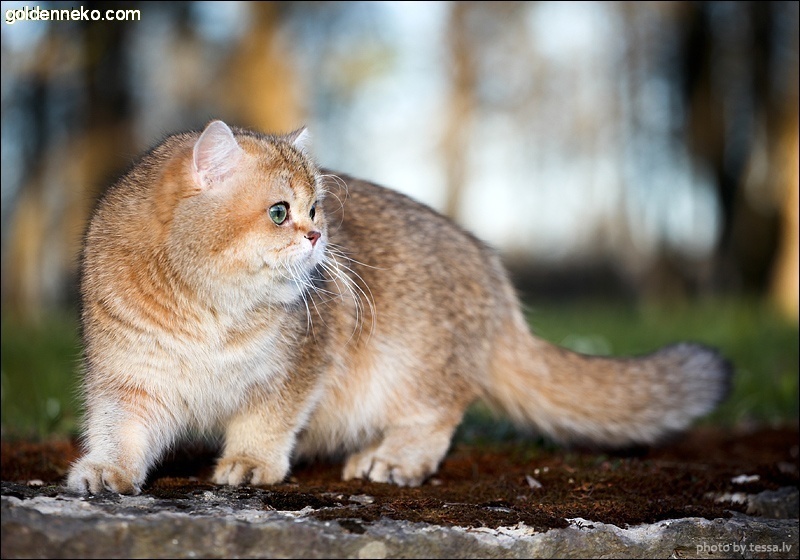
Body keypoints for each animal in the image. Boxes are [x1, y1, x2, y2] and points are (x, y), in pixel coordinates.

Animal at [67, 119, 732, 494]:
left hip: (415, 368)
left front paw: (251, 462)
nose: (319, 236)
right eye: (281, 211)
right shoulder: (129, 380)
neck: (211, 311)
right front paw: (104, 471)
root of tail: (492, 275)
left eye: (316, 208)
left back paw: (391, 459)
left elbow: (266, 423)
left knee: (433, 420)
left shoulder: (297, 372)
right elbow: (120, 432)